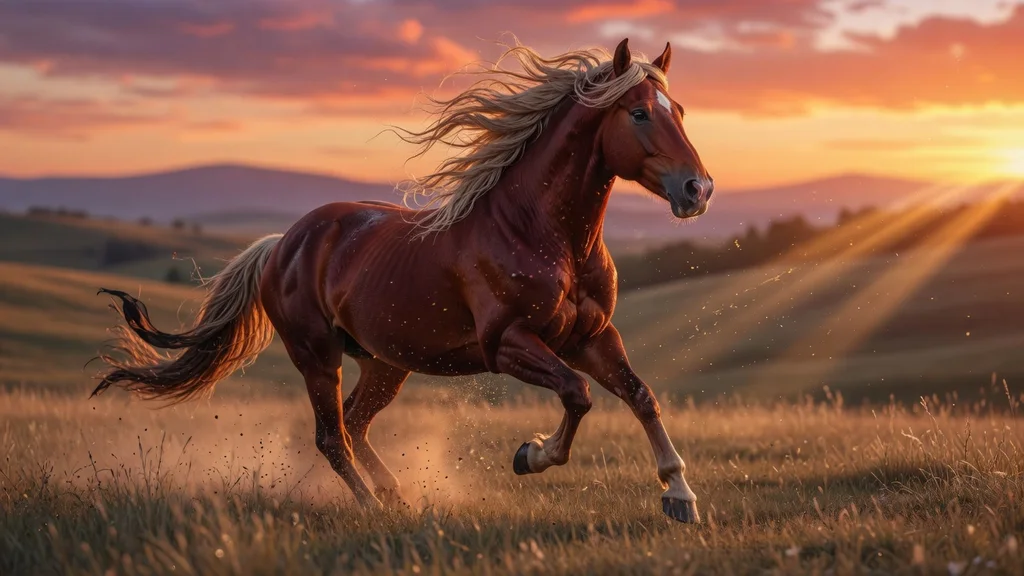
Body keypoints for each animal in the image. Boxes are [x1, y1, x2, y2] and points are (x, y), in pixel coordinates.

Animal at [93, 38, 715, 523]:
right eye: (639, 113)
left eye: (681, 109)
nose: (698, 189)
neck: (541, 232)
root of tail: (281, 244)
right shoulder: (508, 344)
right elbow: (577, 394)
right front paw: (530, 455)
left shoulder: (591, 337)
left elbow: (641, 395)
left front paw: (681, 496)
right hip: (317, 355)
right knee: (331, 436)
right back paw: (372, 507)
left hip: (385, 362)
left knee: (356, 423)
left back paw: (395, 495)